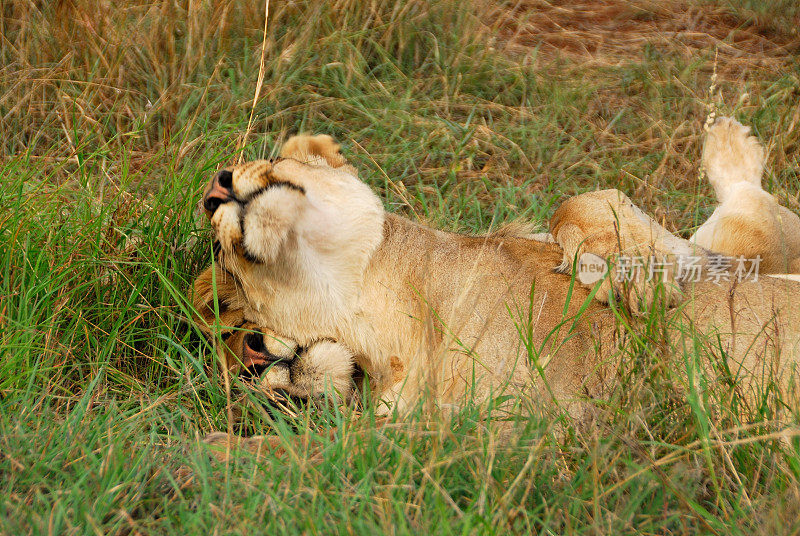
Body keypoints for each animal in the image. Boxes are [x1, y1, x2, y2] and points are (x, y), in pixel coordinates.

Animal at [194, 133, 800, 452]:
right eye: (232, 325)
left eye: (265, 159)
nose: (214, 188)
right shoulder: (494, 436)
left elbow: (578, 205)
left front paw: (629, 273)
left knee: (757, 215)